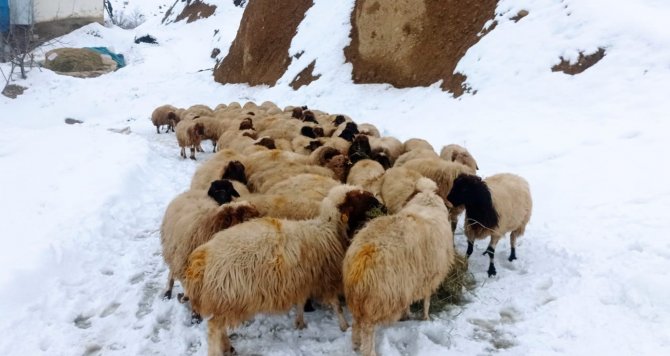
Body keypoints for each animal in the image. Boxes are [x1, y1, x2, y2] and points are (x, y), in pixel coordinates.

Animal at [182, 185, 388, 354]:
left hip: (223, 298)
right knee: (214, 329)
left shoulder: (302, 278)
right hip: (228, 296)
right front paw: (344, 326)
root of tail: (202, 257)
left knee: (218, 327)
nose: (384, 208)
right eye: (361, 197)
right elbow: (335, 304)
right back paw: (219, 349)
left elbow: (301, 301)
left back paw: (227, 346)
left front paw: (300, 322)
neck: (329, 231)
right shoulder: (325, 278)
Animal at [346, 178, 456, 356]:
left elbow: (409, 302)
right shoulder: (430, 275)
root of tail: (363, 257)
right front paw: (425, 318)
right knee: (368, 330)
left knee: (356, 325)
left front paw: (407, 313)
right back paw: (369, 350)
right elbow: (427, 301)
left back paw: (355, 345)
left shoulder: (410, 282)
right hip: (377, 301)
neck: (426, 201)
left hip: (360, 302)